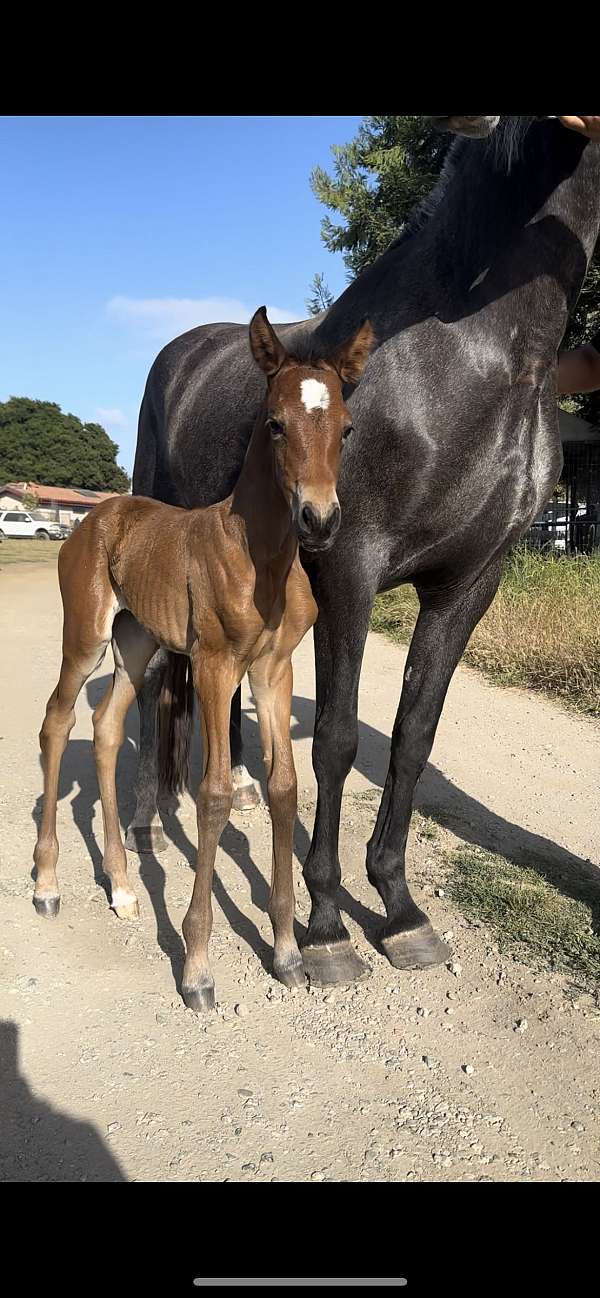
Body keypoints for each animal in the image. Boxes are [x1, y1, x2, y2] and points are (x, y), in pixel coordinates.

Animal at [32, 306, 371, 1012]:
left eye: (347, 428)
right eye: (275, 423)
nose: (319, 519)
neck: (259, 553)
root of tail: (98, 514)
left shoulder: (273, 669)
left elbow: (284, 785)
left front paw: (288, 951)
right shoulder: (216, 666)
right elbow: (213, 794)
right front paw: (196, 968)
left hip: (137, 644)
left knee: (106, 727)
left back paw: (123, 885)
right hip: (86, 635)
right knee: (56, 722)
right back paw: (46, 883)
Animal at [129, 119, 600, 981]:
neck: (477, 355)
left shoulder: (469, 583)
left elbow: (413, 736)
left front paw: (400, 908)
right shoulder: (348, 570)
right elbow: (339, 741)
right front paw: (323, 927)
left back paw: (236, 786)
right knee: (152, 682)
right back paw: (147, 816)